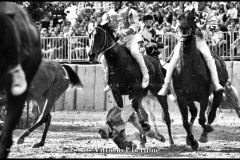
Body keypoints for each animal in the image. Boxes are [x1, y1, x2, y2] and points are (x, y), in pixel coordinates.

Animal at [171, 10, 229, 150]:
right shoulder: (182, 98)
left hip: (218, 92)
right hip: (190, 99)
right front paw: (191, 141)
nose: (183, 28)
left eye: (192, 17)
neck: (189, 70)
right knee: (194, 112)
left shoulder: (203, 97)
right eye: (178, 17)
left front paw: (206, 131)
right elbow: (185, 122)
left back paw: (204, 133)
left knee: (211, 114)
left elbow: (202, 119)